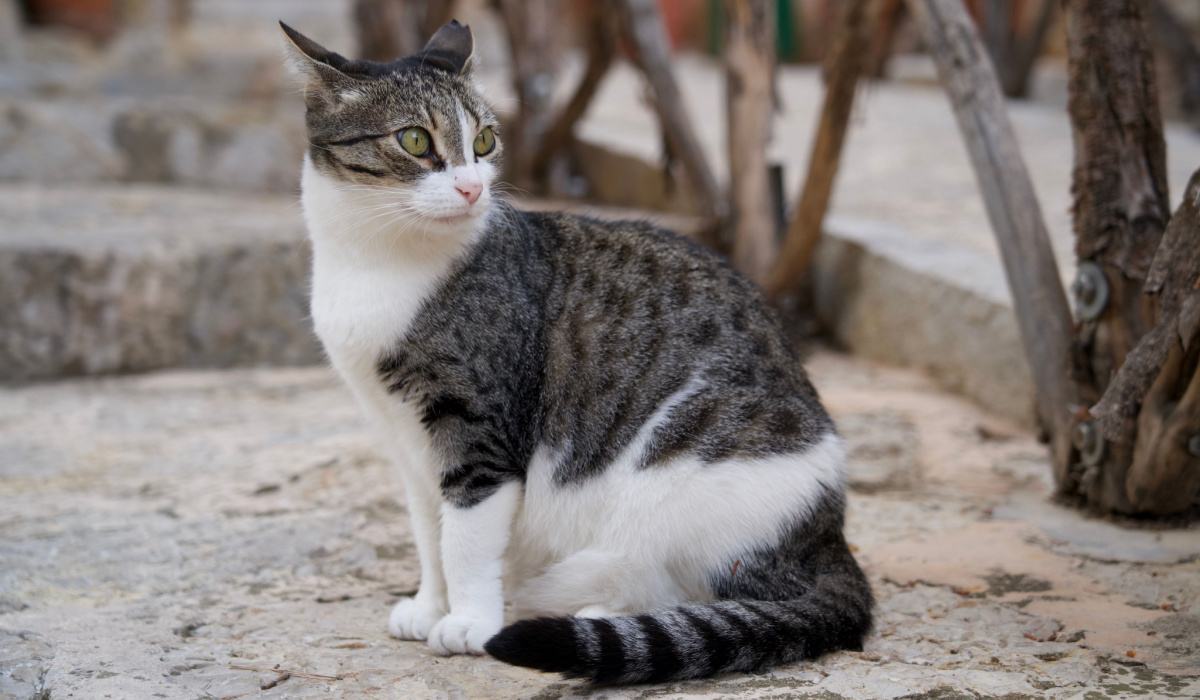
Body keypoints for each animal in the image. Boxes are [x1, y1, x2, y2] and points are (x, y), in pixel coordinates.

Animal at [280, 20, 873, 686]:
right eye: (414, 140)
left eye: (483, 141)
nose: (471, 187)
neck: (374, 261)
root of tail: (829, 535)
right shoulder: (404, 439)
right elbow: (428, 531)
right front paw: (430, 604)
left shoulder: (479, 431)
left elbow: (464, 539)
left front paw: (468, 621)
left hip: (676, 478)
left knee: (694, 587)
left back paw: (594, 619)